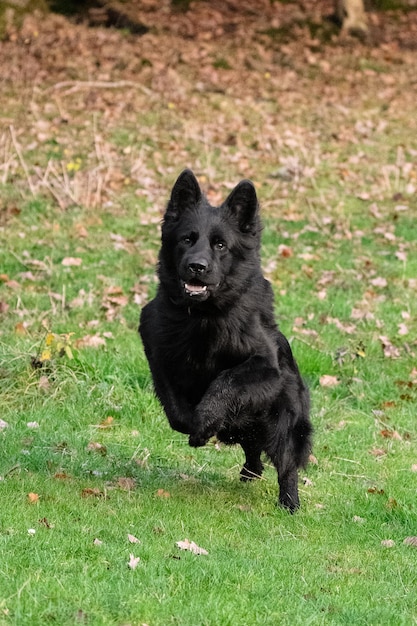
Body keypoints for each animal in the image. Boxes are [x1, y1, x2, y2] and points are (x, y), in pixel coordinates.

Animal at [140, 168, 312, 510]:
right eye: (187, 239)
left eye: (220, 245)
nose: (197, 266)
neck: (203, 316)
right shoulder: (156, 348)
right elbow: (175, 408)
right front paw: (196, 426)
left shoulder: (265, 366)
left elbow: (226, 381)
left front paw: (206, 420)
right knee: (253, 450)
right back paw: (249, 469)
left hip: (283, 420)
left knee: (285, 462)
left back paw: (289, 504)